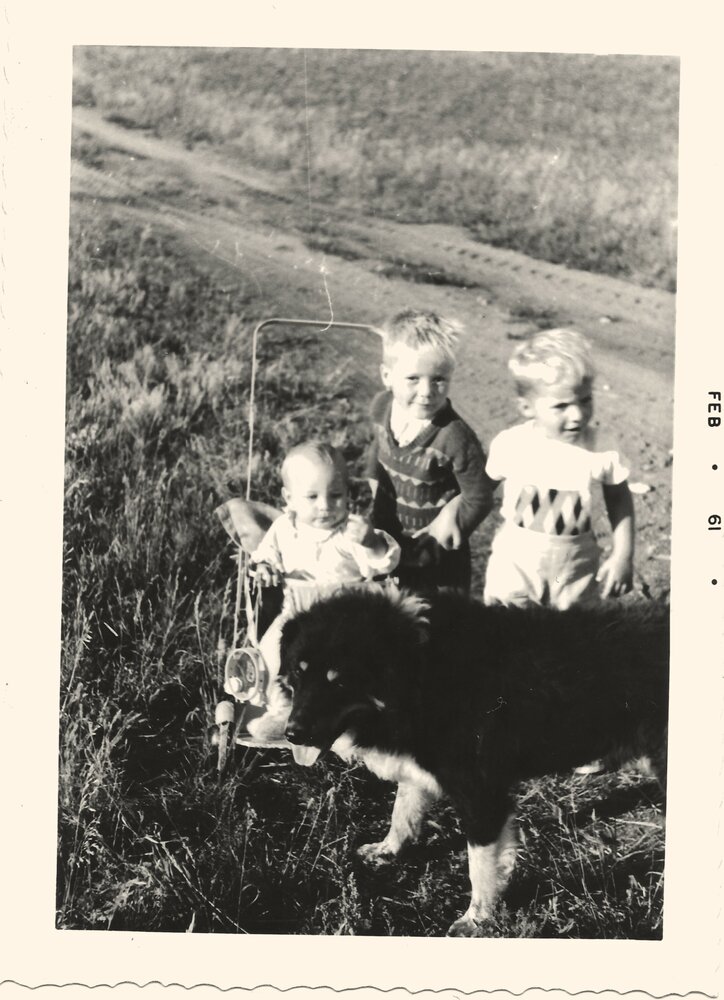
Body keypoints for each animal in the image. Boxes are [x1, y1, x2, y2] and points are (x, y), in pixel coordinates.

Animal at [278, 586, 669, 936]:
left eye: (339, 681)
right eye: (298, 672)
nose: (292, 734)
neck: (420, 670)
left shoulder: (481, 792)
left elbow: (479, 865)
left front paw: (477, 918)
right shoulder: (422, 765)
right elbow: (402, 812)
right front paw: (388, 849)